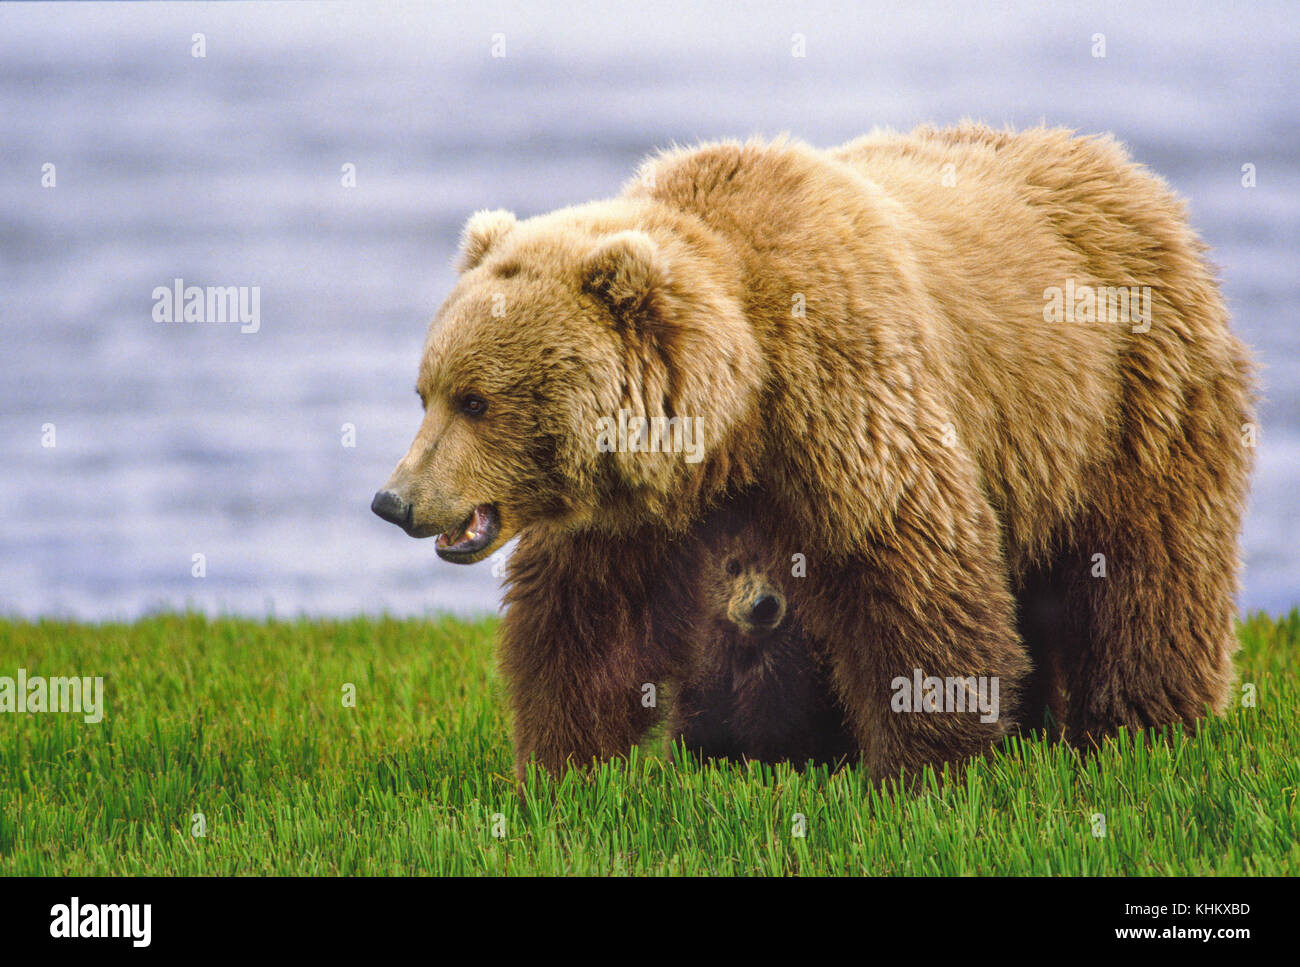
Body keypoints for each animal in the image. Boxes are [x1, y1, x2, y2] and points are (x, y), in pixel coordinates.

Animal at [670, 493, 852, 764]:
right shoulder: (703, 676)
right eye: (732, 565)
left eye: (790, 567)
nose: (764, 604)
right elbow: (690, 736)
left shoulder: (785, 677)